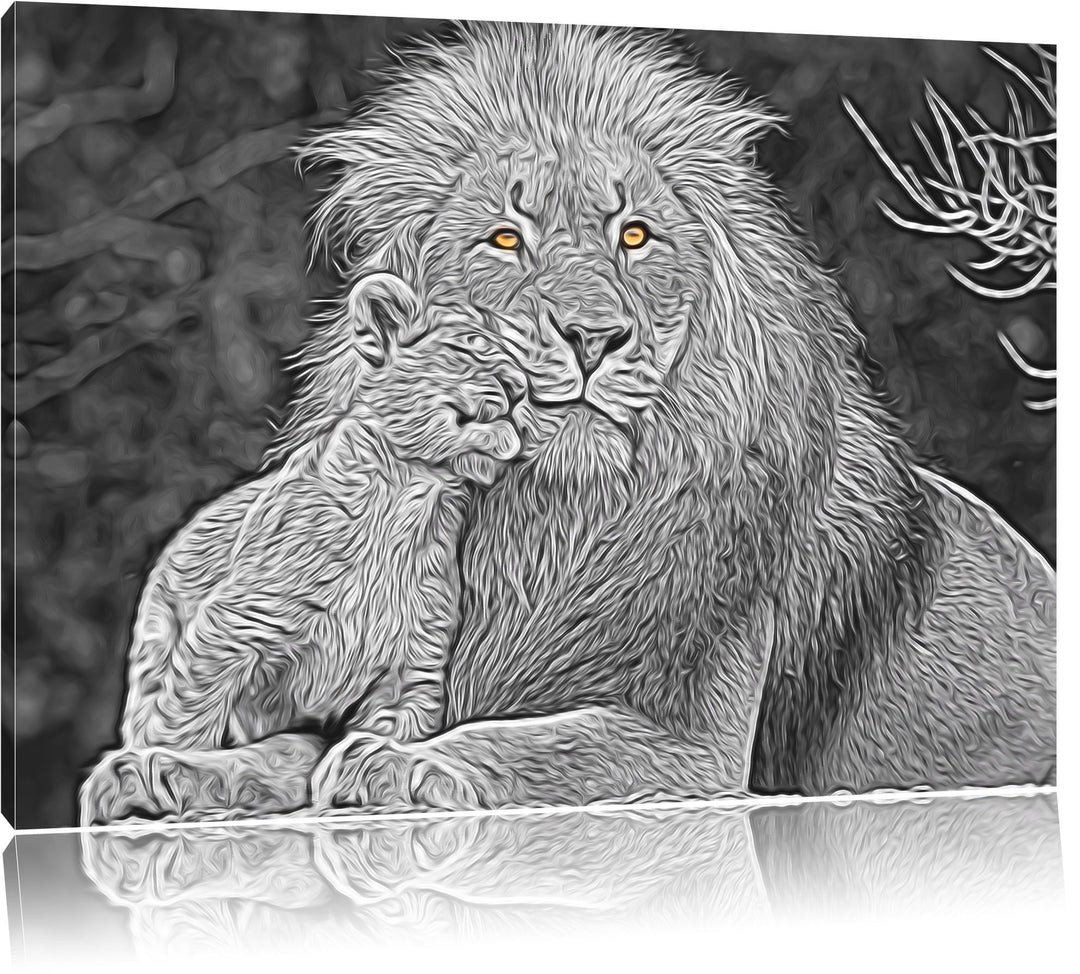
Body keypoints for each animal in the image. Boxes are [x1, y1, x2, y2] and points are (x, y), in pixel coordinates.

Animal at [79, 275, 536, 825]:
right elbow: (188, 717)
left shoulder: (411, 671)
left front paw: (374, 777)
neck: (412, 500)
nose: (520, 390)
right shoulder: (234, 626)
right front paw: (158, 771)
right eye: (470, 347)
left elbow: (384, 736)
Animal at [297, 21, 1055, 811]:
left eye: (635, 236)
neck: (549, 528)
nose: (593, 337)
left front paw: (395, 764)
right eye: (506, 239)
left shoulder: (697, 752)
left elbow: (537, 744)